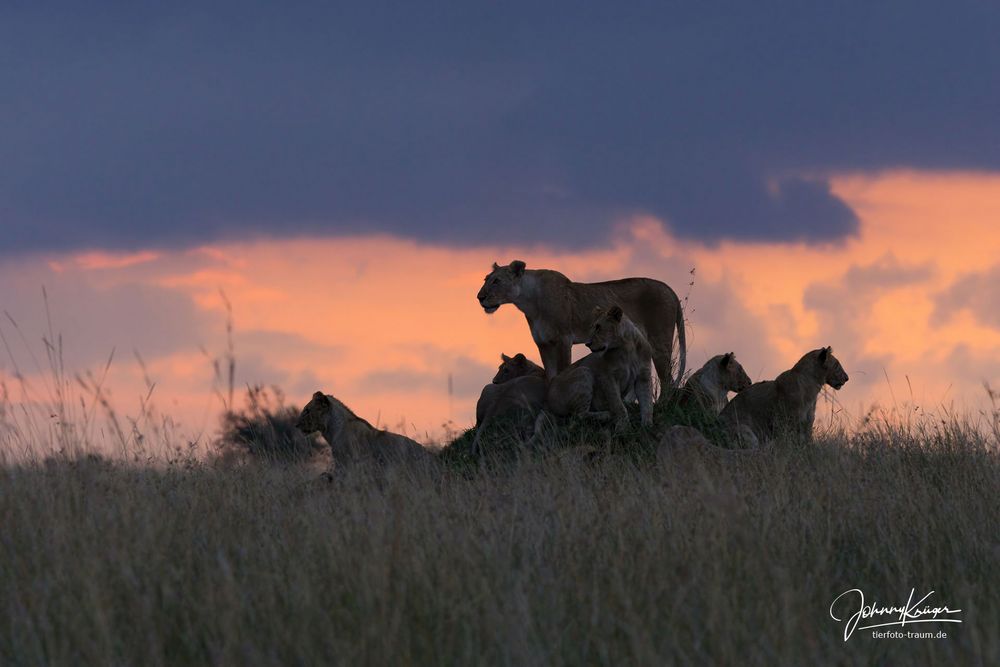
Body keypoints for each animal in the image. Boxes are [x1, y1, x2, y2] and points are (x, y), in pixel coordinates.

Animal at [476, 260, 688, 392]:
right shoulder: (543, 343)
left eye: (497, 281)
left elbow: (562, 370)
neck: (529, 302)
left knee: (667, 380)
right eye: (486, 279)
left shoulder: (563, 339)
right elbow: (549, 375)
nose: (479, 297)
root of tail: (669, 289)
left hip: (659, 340)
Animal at [720, 344, 852, 448]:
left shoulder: (807, 423)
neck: (813, 388)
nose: (847, 378)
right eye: (837, 364)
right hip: (744, 431)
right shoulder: (783, 421)